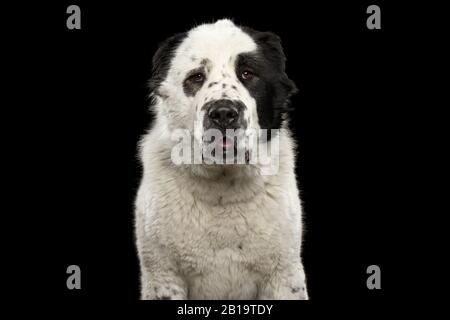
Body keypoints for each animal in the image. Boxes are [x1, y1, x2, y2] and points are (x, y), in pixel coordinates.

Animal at [135, 19, 308, 300]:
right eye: (196, 77)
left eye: (247, 74)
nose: (224, 114)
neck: (222, 189)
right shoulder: (164, 275)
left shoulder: (283, 274)